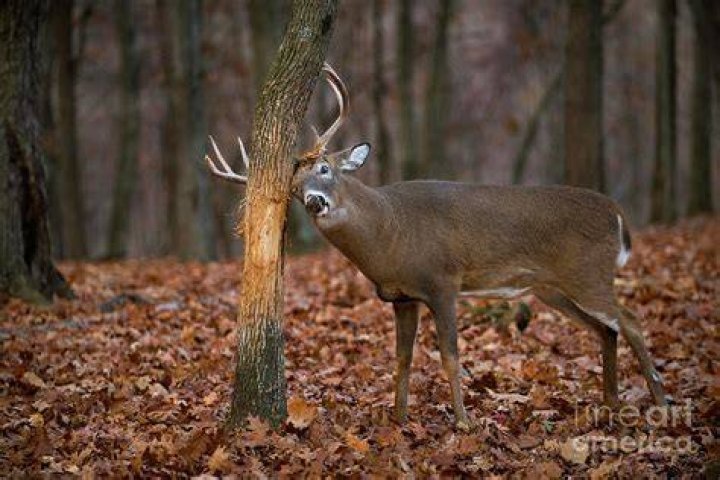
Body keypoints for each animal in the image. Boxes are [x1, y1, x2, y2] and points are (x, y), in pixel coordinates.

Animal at [206, 63, 667, 430]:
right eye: (295, 191)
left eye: (324, 168)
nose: (316, 201)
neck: (390, 234)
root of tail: (616, 211)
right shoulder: (401, 297)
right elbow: (402, 359)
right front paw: (399, 419)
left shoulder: (443, 282)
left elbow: (450, 355)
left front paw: (464, 422)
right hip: (552, 288)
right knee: (607, 329)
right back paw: (610, 404)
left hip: (589, 273)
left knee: (631, 320)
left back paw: (661, 402)